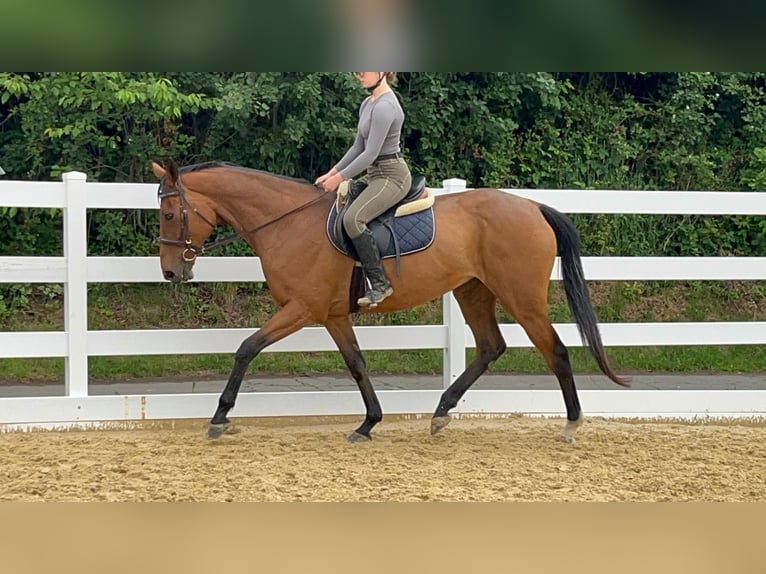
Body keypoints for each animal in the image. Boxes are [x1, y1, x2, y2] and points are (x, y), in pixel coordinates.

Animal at [151, 159, 629, 443]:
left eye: (170, 214)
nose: (171, 272)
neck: (288, 223)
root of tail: (533, 207)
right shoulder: (332, 315)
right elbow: (357, 364)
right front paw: (369, 423)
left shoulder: (302, 309)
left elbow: (246, 348)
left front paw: (219, 417)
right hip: (472, 290)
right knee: (491, 346)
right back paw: (440, 412)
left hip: (521, 296)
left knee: (555, 350)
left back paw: (571, 423)